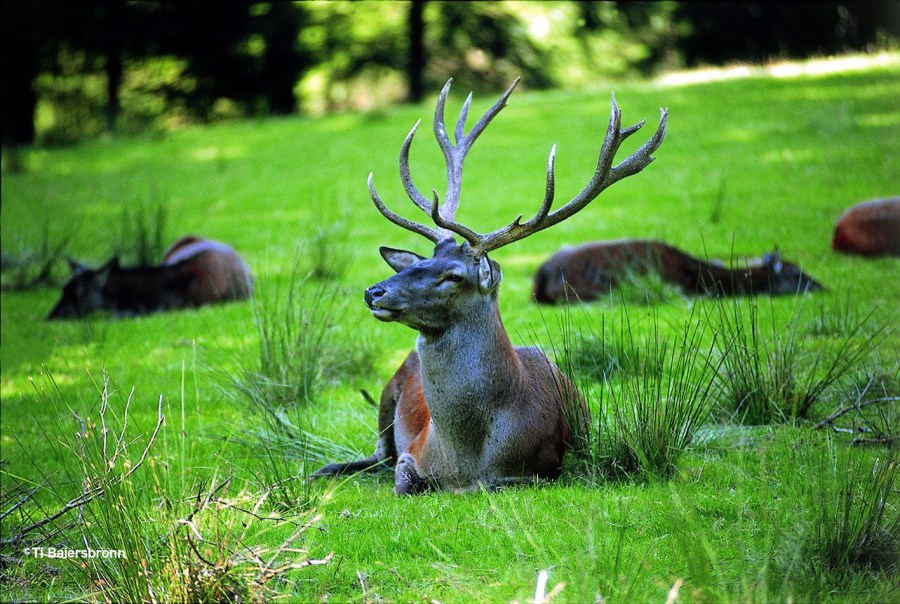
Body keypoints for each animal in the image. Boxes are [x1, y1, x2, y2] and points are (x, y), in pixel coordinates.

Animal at [312, 78, 667, 494]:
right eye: (425, 260)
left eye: (453, 276)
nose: (374, 292)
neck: (465, 463)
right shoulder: (410, 453)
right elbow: (403, 483)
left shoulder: (539, 471)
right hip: (387, 393)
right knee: (375, 454)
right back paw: (325, 468)